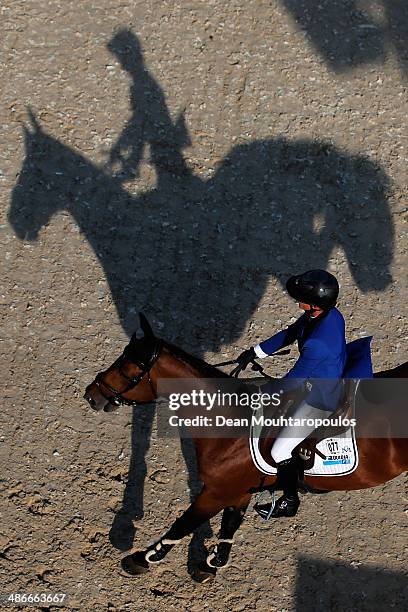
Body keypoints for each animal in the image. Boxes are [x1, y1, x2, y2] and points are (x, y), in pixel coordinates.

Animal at [83, 316, 408, 584]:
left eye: (127, 367)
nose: (91, 394)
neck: (229, 419)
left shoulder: (217, 491)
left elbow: (183, 524)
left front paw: (141, 559)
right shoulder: (238, 490)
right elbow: (229, 525)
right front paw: (212, 563)